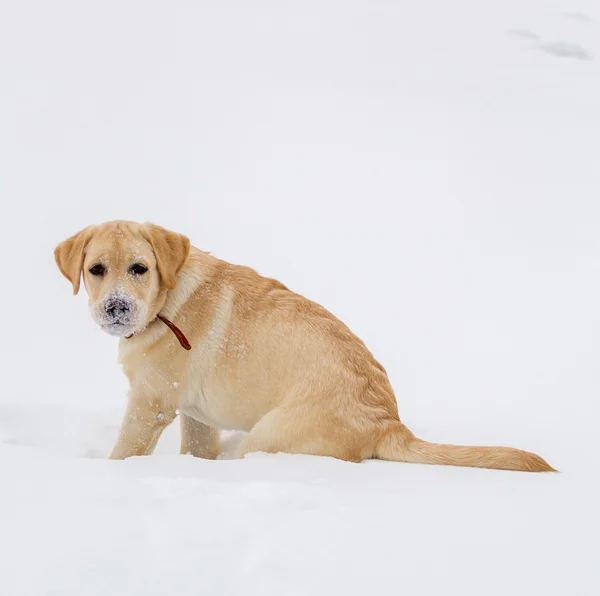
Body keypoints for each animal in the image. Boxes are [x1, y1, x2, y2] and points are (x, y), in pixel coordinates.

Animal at [54, 219, 556, 470]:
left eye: (139, 268)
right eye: (96, 269)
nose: (116, 307)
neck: (166, 301)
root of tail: (389, 424)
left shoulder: (150, 405)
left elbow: (122, 454)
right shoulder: (194, 415)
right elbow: (196, 450)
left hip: (267, 438)